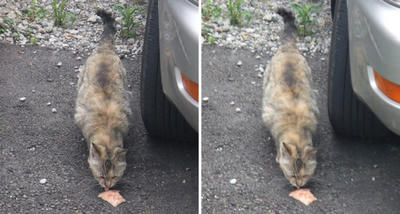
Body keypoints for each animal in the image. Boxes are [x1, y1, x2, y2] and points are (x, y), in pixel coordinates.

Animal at [262, 8, 318, 189]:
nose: (299, 186)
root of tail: (288, 47)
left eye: (306, 175)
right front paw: (278, 156)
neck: (296, 127)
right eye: (292, 175)